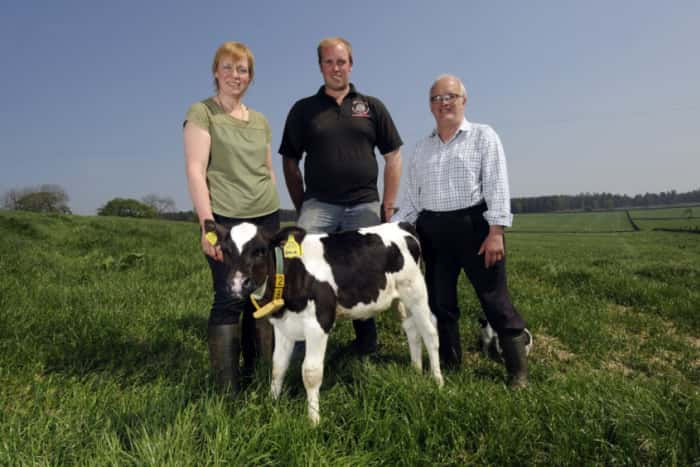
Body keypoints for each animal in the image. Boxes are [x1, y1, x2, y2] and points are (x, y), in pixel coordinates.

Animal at [213, 222, 442, 424]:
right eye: (225, 251)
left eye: (259, 251)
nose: (237, 284)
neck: (294, 272)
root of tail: (402, 224)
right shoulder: (283, 326)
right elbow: (278, 366)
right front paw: (272, 405)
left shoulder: (319, 323)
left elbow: (311, 373)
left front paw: (313, 420)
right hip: (399, 299)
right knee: (412, 330)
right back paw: (415, 372)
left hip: (416, 292)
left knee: (430, 333)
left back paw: (437, 382)